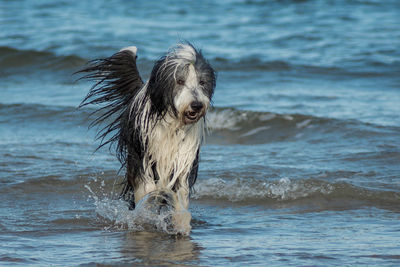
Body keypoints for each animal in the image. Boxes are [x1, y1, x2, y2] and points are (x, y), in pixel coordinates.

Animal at [78, 42, 216, 230]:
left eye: (202, 82)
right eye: (180, 81)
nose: (196, 105)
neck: (173, 124)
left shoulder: (183, 159)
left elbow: (180, 192)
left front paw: (180, 222)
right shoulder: (143, 156)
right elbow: (146, 188)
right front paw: (147, 212)